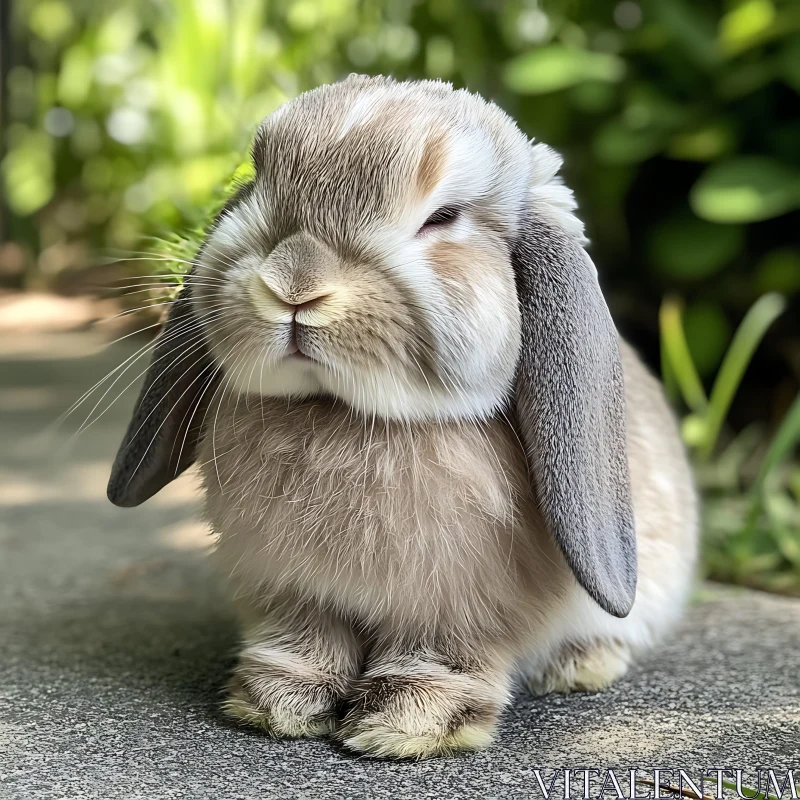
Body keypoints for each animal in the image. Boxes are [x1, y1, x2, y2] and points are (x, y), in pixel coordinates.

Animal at [108, 78, 700, 760]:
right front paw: (275, 702)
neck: (339, 415)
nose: (293, 284)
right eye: (260, 185)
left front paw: (406, 724)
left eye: (443, 218)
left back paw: (579, 666)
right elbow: (300, 642)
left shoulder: (459, 607)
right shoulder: (290, 591)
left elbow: (441, 658)